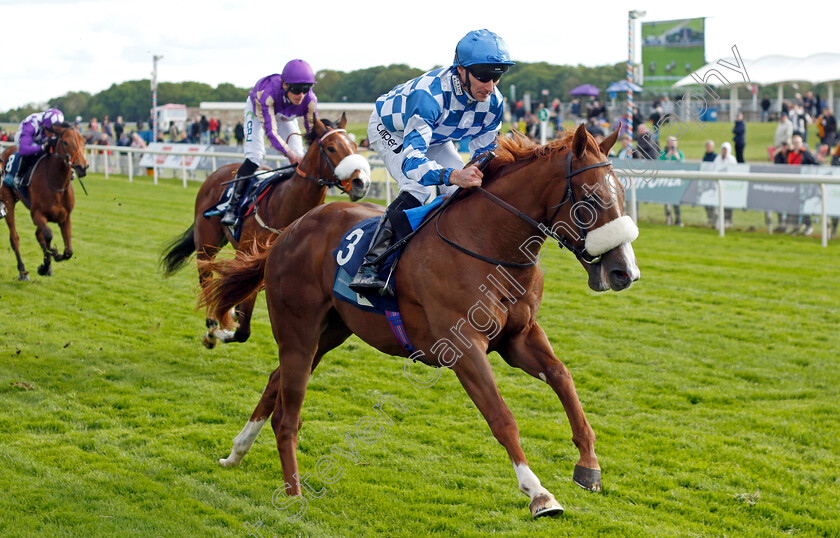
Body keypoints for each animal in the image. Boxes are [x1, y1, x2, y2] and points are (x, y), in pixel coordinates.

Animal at [0, 123, 87, 278]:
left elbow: (68, 251)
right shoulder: (37, 214)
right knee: (14, 238)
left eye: (84, 141)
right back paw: (22, 270)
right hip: (8, 201)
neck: (56, 183)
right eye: (66, 142)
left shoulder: (65, 217)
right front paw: (51, 258)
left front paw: (48, 263)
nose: (82, 167)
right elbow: (48, 235)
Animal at [159, 114, 370, 346]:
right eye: (331, 148)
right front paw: (219, 329)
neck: (285, 204)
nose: (361, 183)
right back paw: (212, 320)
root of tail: (219, 171)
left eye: (354, 146)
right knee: (205, 275)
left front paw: (231, 314)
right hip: (207, 240)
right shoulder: (248, 256)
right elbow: (242, 325)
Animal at [200, 123, 640, 516]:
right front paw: (538, 493)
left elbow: (563, 378)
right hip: (299, 329)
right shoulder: (464, 347)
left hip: (329, 332)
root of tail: (287, 232)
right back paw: (292, 494)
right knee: (288, 415)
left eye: (621, 193)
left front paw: (588, 465)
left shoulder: (520, 337)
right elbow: (502, 417)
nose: (625, 272)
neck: (488, 243)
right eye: (591, 198)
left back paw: (236, 452)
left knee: (277, 380)